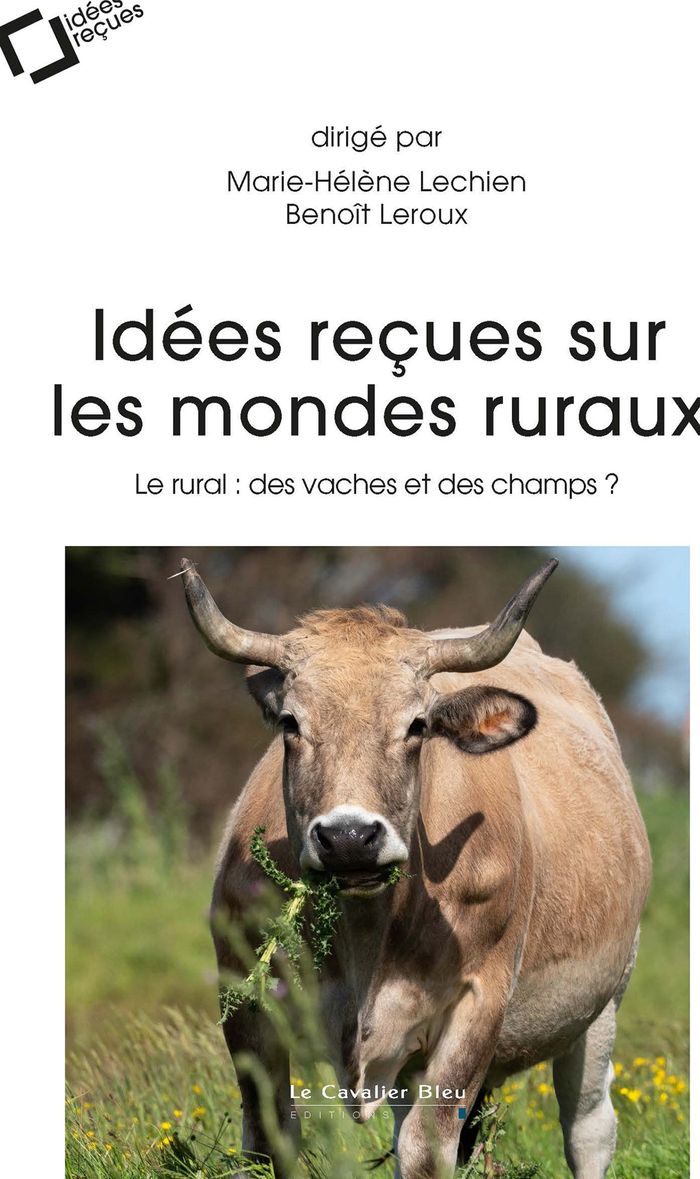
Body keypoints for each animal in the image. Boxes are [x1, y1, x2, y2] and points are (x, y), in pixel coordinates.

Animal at [179, 556, 651, 1179]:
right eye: (290, 723)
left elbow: (426, 1151)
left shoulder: (476, 1006)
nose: (349, 838)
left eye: (417, 725)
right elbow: (268, 1138)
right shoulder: (246, 1001)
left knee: (589, 1126)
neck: (363, 943)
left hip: (603, 1006)